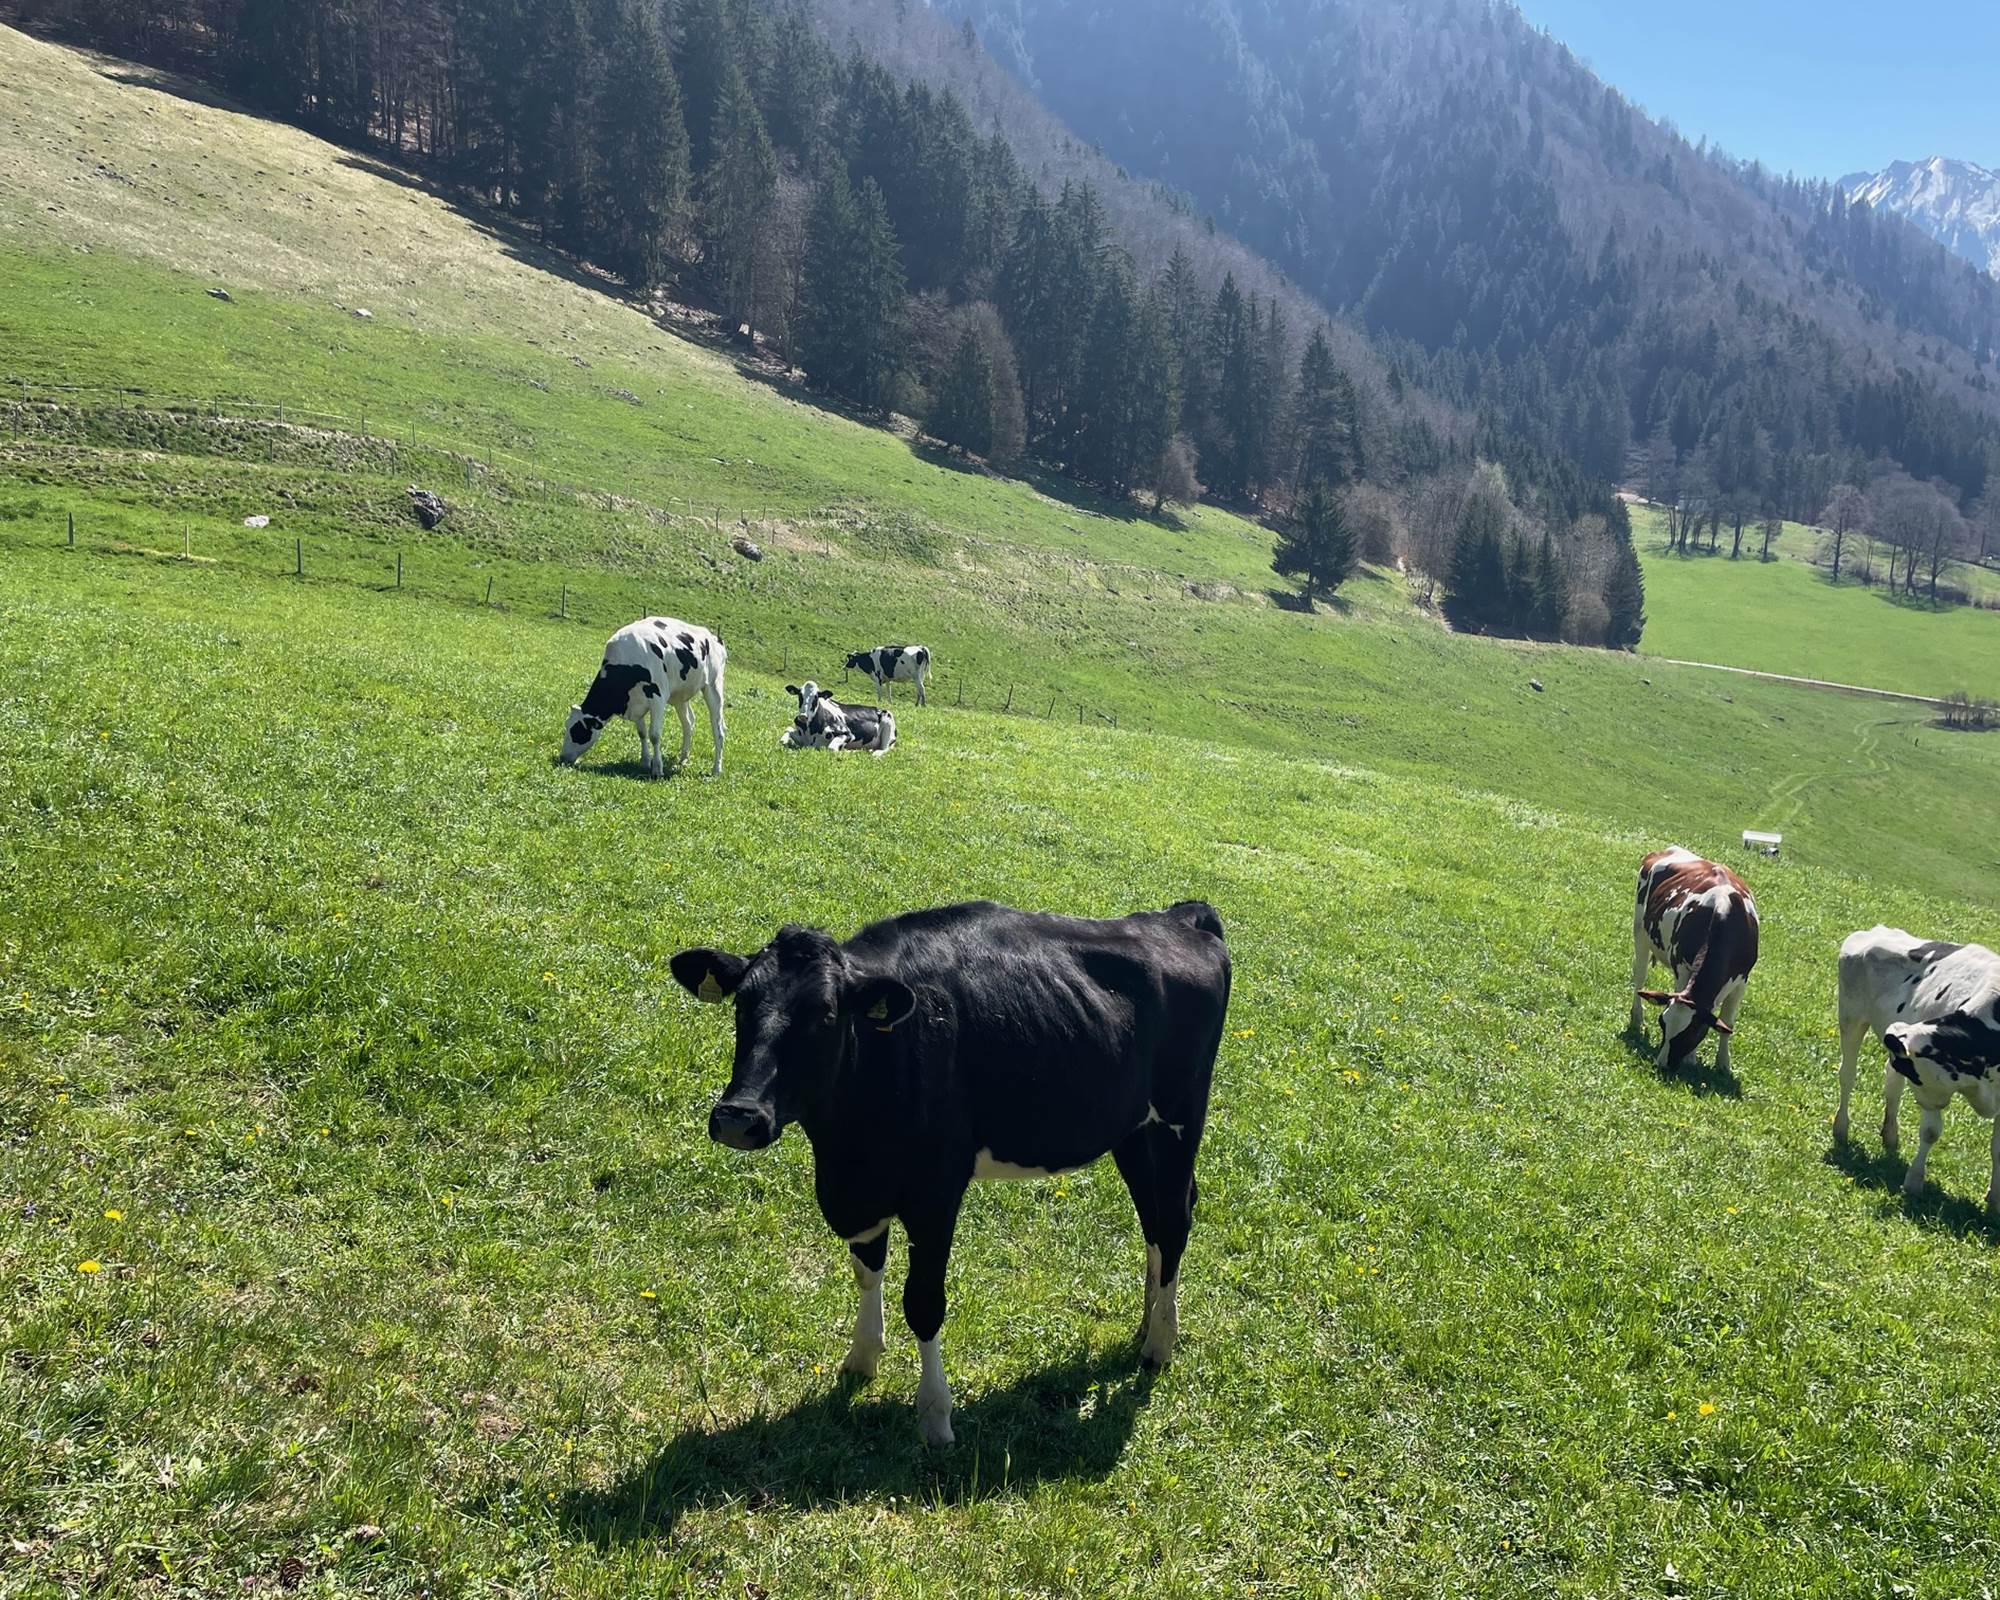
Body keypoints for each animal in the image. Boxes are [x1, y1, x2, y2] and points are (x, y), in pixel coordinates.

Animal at [559, 618, 725, 778]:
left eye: (577, 731)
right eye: (566, 727)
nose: (562, 758)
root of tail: (714, 637)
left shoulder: (658, 698)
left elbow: (654, 735)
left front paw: (657, 768)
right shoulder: (635, 702)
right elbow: (642, 733)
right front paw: (645, 762)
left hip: (713, 686)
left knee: (718, 729)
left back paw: (716, 769)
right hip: (679, 695)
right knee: (688, 723)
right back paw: (683, 759)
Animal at [670, 899, 1232, 1447]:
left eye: (825, 1014)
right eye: (742, 1004)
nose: (739, 1116)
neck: (846, 1146)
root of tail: (1178, 916)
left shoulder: (935, 1192)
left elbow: (923, 1302)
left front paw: (936, 1416)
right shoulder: (861, 1192)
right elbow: (866, 1270)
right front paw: (862, 1359)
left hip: (1180, 1119)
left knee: (1174, 1221)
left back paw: (1160, 1343)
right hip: (1133, 1131)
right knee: (1153, 1223)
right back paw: (1146, 1325)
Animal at [1630, 847, 1760, 1073]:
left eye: (1691, 1033)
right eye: (1662, 1023)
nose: (1662, 1065)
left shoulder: (1742, 981)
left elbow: (1727, 1023)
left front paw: (1724, 1064)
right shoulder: (1682, 968)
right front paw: (1691, 1058)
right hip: (1640, 932)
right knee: (1640, 977)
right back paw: (1637, 1017)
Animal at [1836, 927, 2000, 1211]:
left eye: (1913, 1071)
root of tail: (1875, 929)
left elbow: (1998, 1149)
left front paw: (1995, 1201)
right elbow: (1930, 1133)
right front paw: (1913, 1182)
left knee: (1891, 1082)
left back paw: (1890, 1135)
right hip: (1850, 1018)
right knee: (1848, 1075)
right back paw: (1841, 1128)